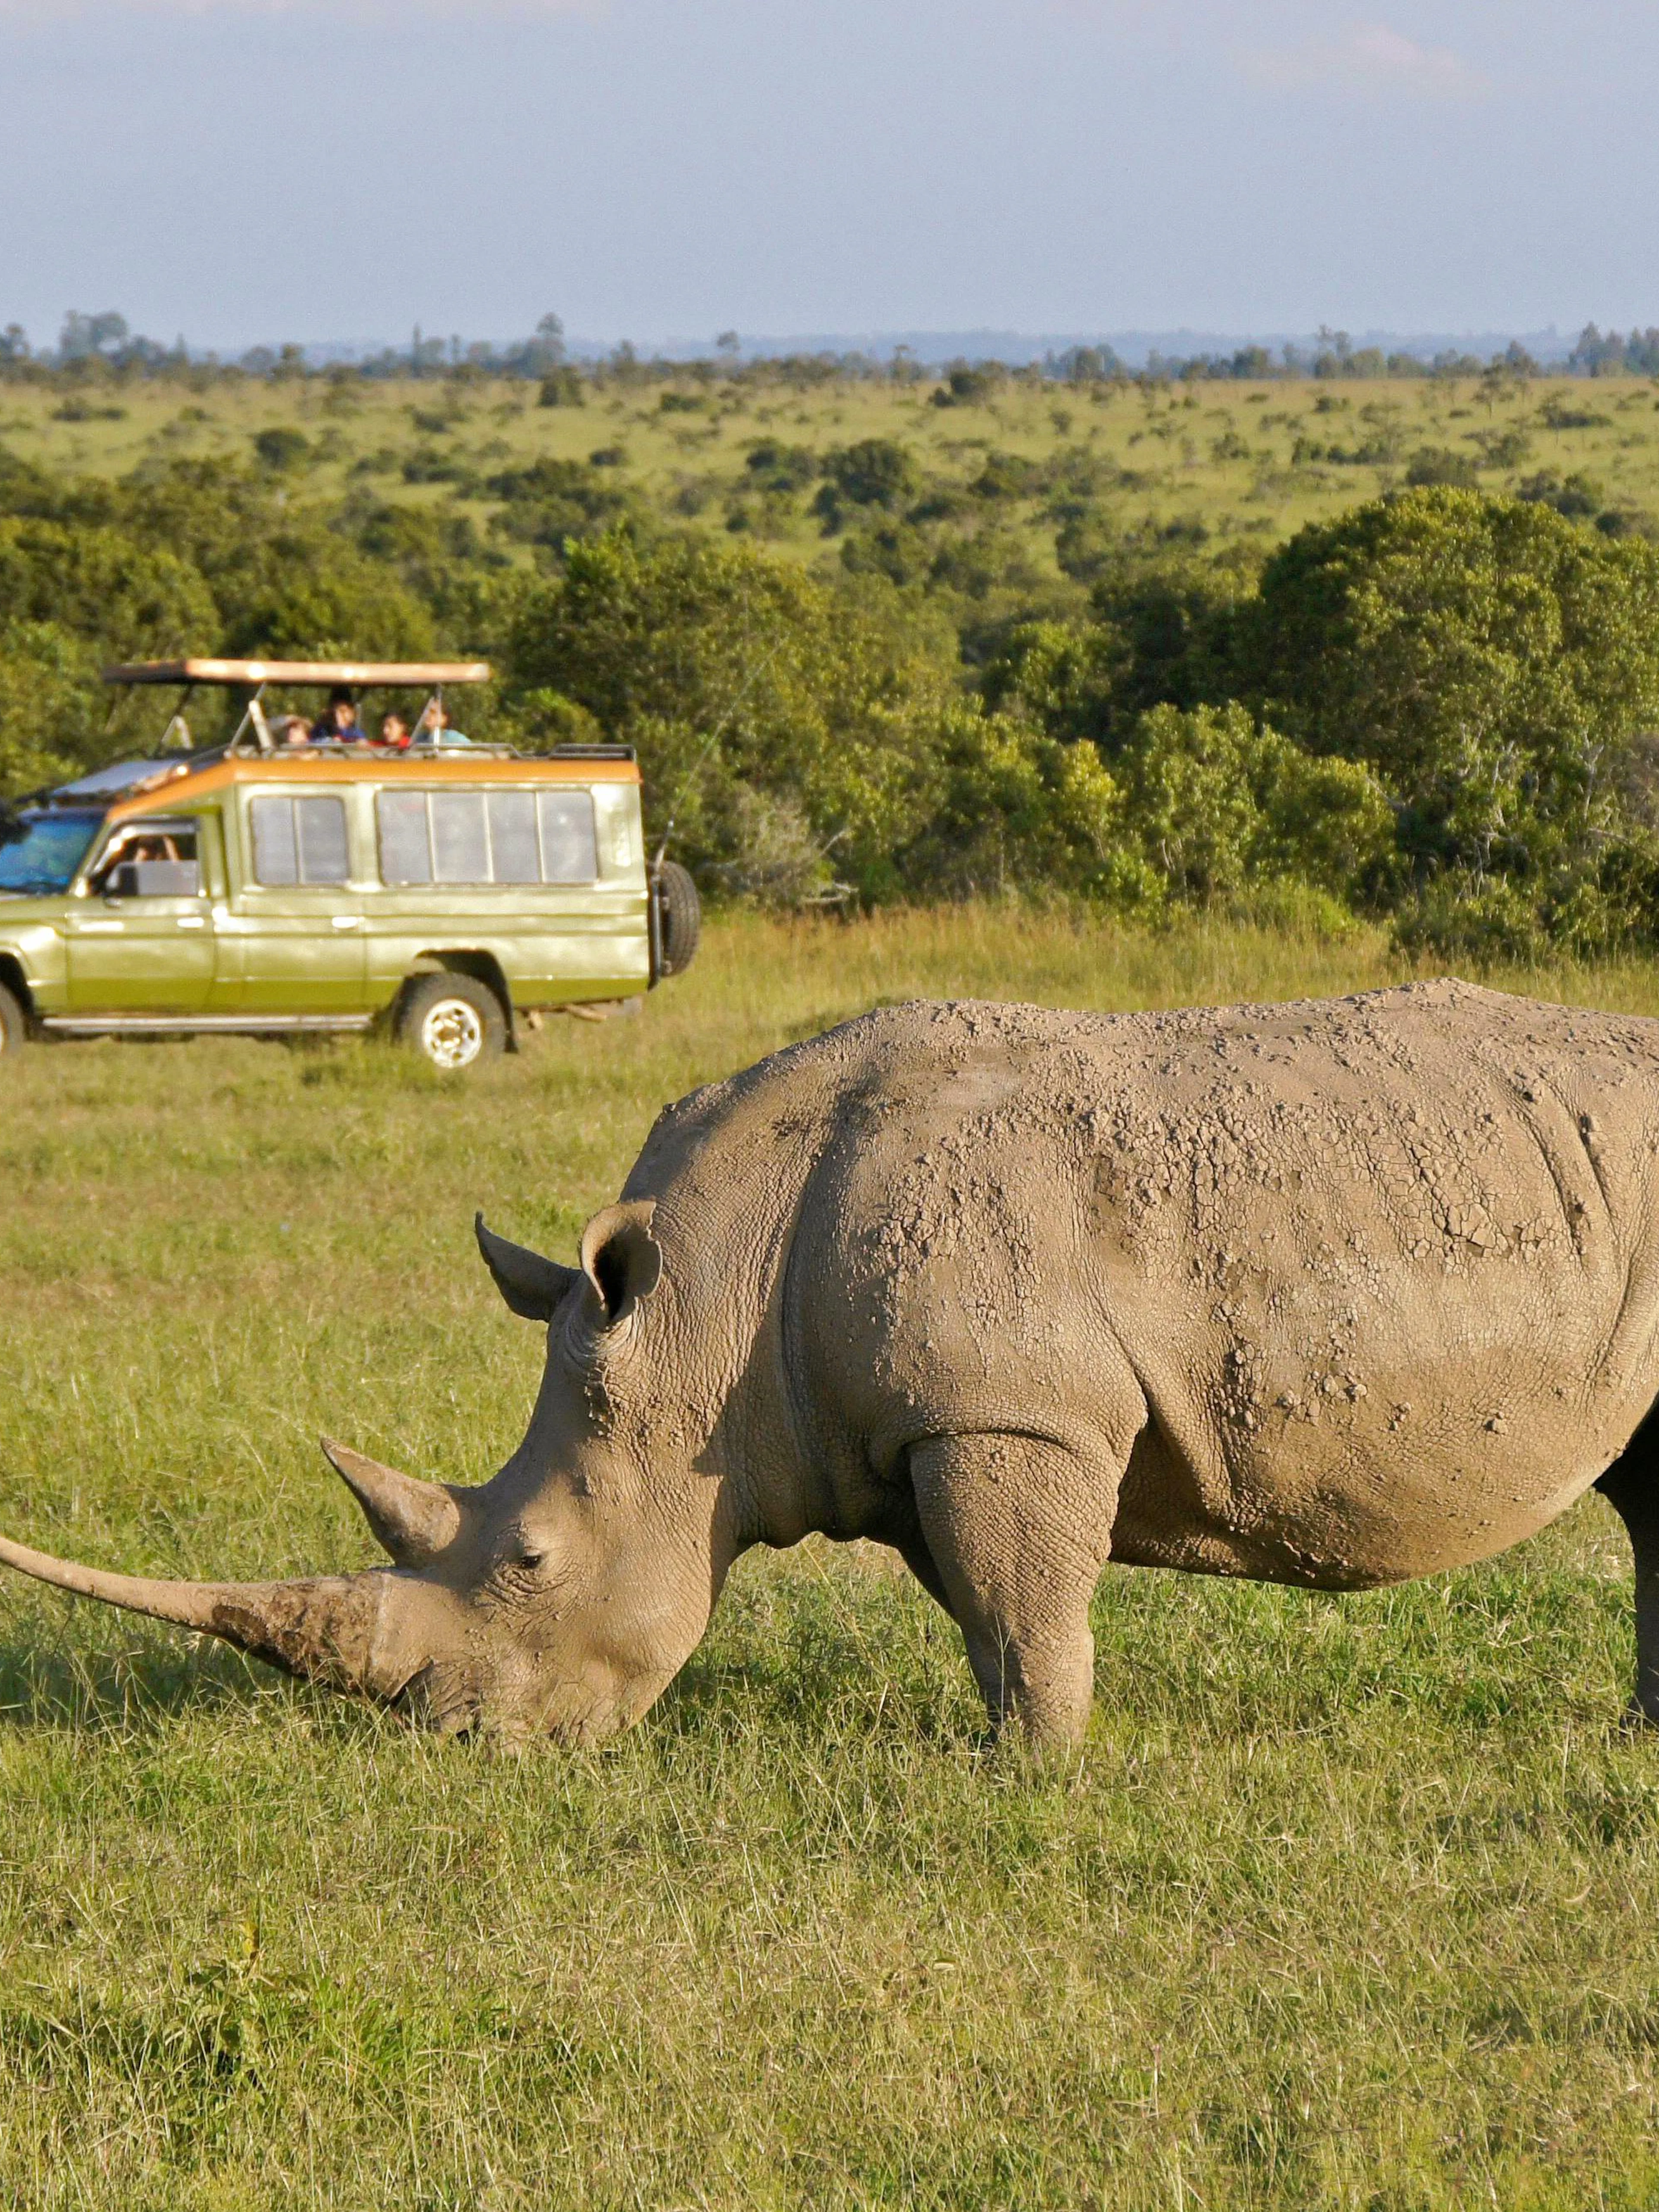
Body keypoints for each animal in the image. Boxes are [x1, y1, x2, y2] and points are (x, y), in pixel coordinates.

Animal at [5, 978, 1659, 1745]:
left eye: (531, 1561)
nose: (458, 1742)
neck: (702, 1308)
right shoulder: (919, 1427)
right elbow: (990, 1607)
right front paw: (1011, 1753)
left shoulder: (1007, 1411)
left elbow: (1023, 1609)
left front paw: (1029, 1784)